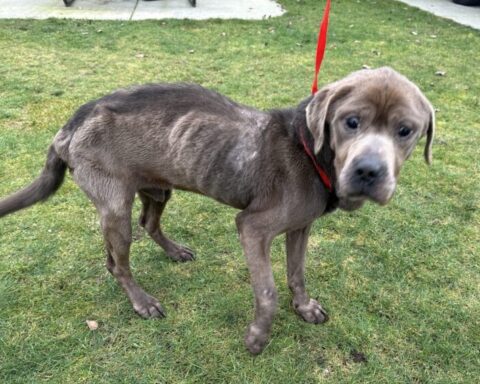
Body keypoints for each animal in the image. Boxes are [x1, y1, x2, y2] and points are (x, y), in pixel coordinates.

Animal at [0, 67, 436, 354]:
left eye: (405, 130)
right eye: (351, 122)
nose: (369, 172)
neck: (311, 153)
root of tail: (70, 124)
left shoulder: (301, 227)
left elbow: (297, 274)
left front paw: (304, 307)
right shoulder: (253, 228)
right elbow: (268, 291)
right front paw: (258, 338)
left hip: (156, 189)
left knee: (143, 227)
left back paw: (174, 252)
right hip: (114, 206)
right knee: (120, 261)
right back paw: (142, 301)